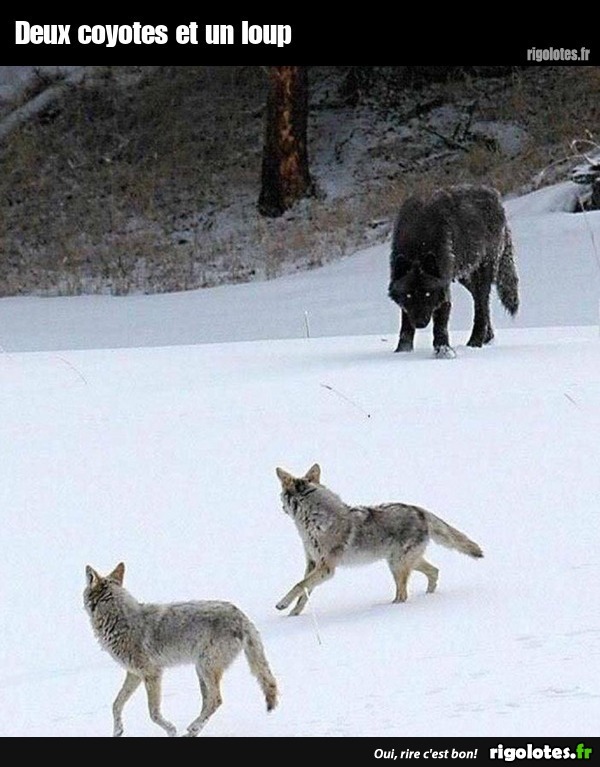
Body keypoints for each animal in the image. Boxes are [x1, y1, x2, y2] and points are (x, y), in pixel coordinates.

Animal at [83, 562, 278, 737]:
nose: (86, 568)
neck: (118, 620)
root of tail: (243, 617)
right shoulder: (134, 674)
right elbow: (116, 704)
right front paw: (117, 731)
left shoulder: (153, 674)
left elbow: (153, 714)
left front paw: (171, 730)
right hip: (200, 672)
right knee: (208, 702)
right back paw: (192, 731)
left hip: (205, 669)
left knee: (216, 700)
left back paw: (193, 727)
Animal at [275, 464, 483, 616]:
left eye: (281, 497)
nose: (281, 508)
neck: (313, 521)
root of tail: (420, 510)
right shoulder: (312, 564)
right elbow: (303, 593)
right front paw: (293, 615)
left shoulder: (326, 568)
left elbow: (299, 585)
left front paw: (282, 604)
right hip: (403, 562)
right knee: (434, 571)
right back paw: (428, 596)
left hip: (397, 566)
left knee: (404, 594)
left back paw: (390, 607)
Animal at [388, 184, 519, 355]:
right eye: (409, 295)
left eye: (428, 294)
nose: (420, 323)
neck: (418, 242)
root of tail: (496, 196)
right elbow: (405, 324)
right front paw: (402, 351)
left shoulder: (443, 287)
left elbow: (440, 324)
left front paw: (443, 351)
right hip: (465, 276)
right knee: (480, 301)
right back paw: (487, 337)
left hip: (483, 271)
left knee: (481, 306)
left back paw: (475, 342)